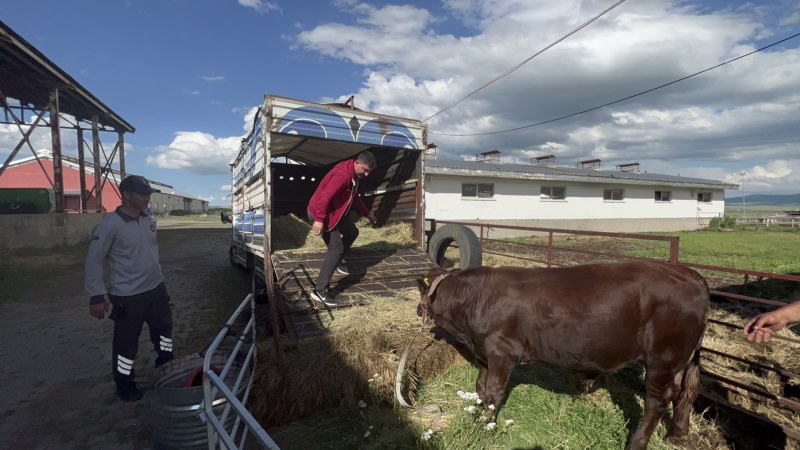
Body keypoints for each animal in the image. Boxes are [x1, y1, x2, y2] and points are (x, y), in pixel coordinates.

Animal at [416, 260, 708, 450]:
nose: (419, 312)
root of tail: (689, 273)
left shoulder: (501, 351)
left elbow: (494, 391)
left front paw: (486, 424)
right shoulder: (484, 350)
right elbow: (481, 387)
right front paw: (478, 412)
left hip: (663, 359)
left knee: (657, 402)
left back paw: (636, 443)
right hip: (680, 360)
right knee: (685, 392)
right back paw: (677, 435)